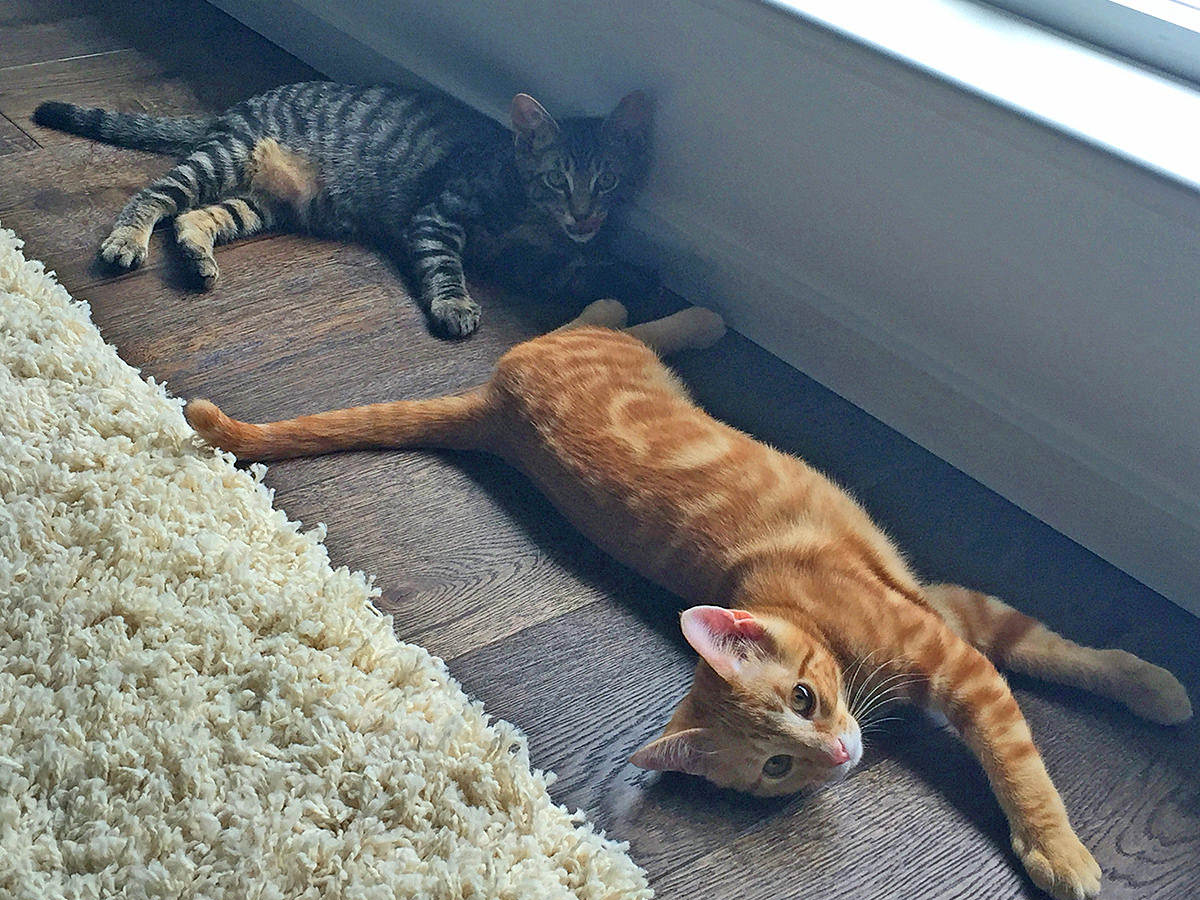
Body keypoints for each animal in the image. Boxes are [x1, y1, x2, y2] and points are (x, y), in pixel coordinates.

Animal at [37, 82, 652, 336]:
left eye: (607, 182)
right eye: (556, 180)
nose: (584, 216)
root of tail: (236, 107)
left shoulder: (524, 254)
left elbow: (564, 269)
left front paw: (616, 277)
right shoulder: (437, 217)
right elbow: (445, 266)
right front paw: (455, 304)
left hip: (264, 204)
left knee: (195, 217)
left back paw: (196, 256)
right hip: (224, 159)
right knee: (157, 194)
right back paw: (127, 240)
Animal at [187, 300, 1190, 897]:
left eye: (803, 697)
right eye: (775, 768)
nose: (836, 753)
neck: (829, 633)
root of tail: (495, 406)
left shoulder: (952, 633)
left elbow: (1040, 706)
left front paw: (1120, 740)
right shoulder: (954, 626)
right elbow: (1031, 699)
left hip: (588, 352)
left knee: (596, 317)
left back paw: (685, 314)